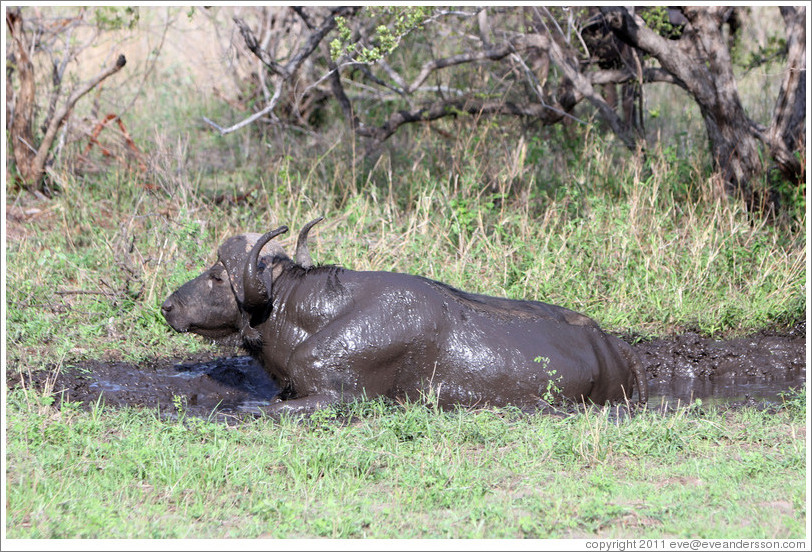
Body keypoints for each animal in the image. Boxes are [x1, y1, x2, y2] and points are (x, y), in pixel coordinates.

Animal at [161, 218, 648, 416]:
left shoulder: (337, 397)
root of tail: (614, 346)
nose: (168, 306)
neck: (304, 315)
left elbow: (265, 410)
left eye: (216, 277)